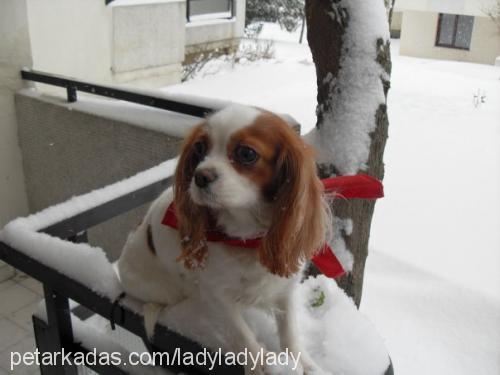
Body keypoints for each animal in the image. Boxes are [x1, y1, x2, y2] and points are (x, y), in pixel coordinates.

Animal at [117, 104, 332, 374]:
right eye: (199, 149)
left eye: (246, 153)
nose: (200, 176)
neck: (246, 236)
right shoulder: (216, 294)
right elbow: (242, 334)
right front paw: (260, 364)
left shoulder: (284, 287)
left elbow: (289, 332)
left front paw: (303, 363)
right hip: (163, 291)